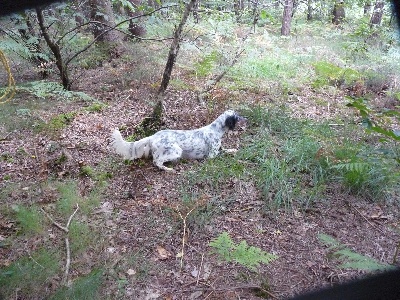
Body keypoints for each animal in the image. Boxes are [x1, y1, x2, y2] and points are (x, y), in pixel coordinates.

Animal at [111, 110, 245, 171]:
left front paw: (234, 150)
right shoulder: (211, 156)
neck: (216, 129)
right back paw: (168, 169)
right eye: (237, 116)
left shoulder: (219, 150)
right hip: (176, 150)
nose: (246, 119)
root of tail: (153, 136)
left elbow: (228, 150)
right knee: (157, 162)